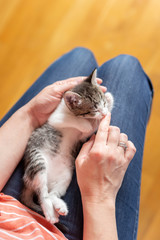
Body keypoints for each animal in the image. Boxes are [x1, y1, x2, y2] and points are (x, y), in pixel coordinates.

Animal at [21, 68, 114, 224]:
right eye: (93, 109)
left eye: (101, 103)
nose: (103, 112)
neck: (68, 110)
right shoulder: (55, 118)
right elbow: (78, 123)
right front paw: (86, 123)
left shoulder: (82, 137)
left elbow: (90, 128)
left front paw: (109, 98)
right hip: (37, 161)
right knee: (42, 192)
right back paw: (50, 212)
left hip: (66, 175)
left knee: (52, 193)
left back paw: (59, 206)